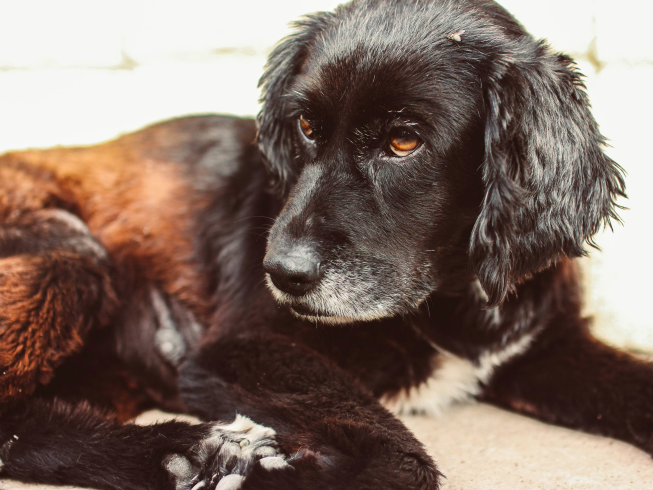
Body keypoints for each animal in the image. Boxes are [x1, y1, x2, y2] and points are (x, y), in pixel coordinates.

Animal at [0, 0, 648, 488]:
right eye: (307, 126)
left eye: (405, 141)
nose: (280, 272)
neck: (453, 298)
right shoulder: (244, 342)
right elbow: (400, 459)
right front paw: (272, 475)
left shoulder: (545, 348)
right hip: (76, 260)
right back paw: (198, 451)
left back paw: (182, 456)